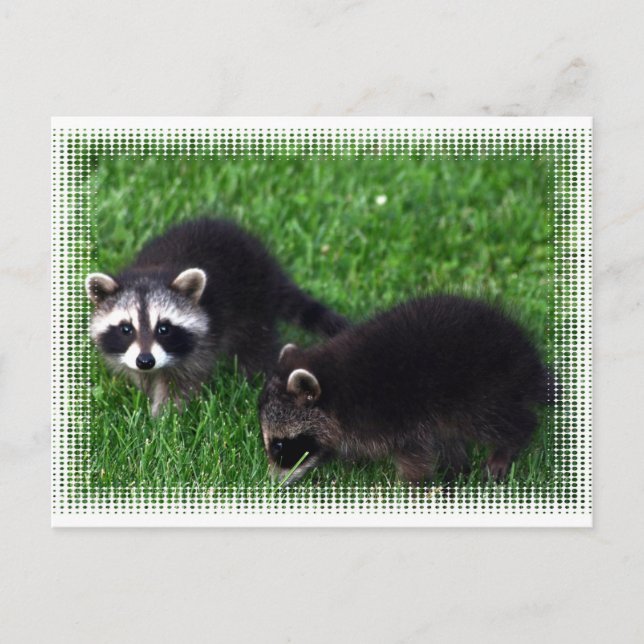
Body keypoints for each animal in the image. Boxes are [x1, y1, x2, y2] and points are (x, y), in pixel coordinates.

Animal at [86, 218, 348, 416]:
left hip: (253, 306)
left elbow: (181, 383)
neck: (153, 272)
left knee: (255, 349)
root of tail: (271, 271)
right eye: (126, 329)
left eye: (164, 328)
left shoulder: (201, 346)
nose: (145, 361)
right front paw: (145, 391)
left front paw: (163, 417)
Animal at [259, 295, 551, 484]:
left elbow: (416, 461)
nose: (272, 484)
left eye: (279, 446)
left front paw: (415, 488)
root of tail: (526, 357)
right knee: (452, 435)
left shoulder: (395, 421)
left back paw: (508, 445)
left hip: (481, 390)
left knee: (500, 421)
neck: (336, 390)